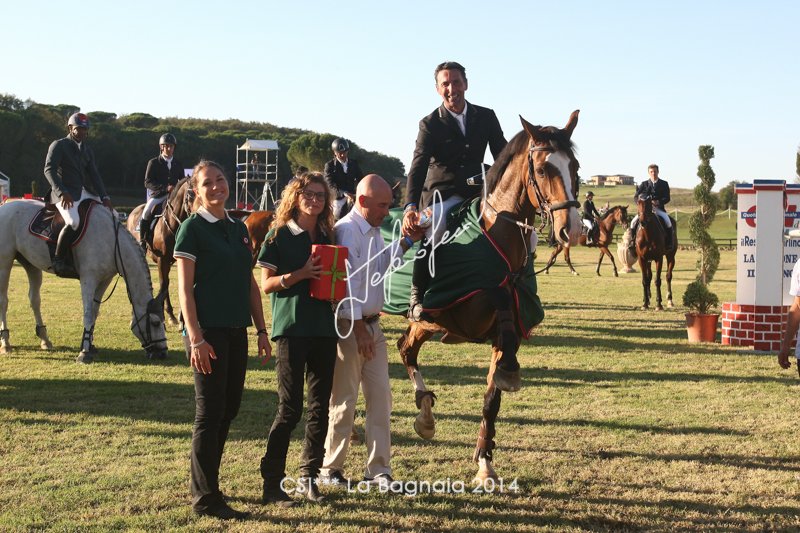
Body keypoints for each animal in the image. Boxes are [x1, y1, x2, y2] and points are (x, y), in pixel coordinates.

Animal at [0, 200, 168, 362]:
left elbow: (94, 312)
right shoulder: (89, 279)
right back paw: (6, 343)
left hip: (31, 264)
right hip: (5, 262)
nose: (162, 353)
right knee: (4, 301)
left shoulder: (105, 280)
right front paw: (84, 353)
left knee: (34, 300)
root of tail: (5, 206)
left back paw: (45, 339)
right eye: (155, 323)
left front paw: (89, 344)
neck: (111, 242)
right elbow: (87, 313)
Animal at [396, 111, 582, 483]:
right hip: (423, 316)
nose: (573, 229)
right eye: (543, 170)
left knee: (406, 349)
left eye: (576, 167)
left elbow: (492, 397)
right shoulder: (469, 310)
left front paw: (484, 462)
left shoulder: (503, 332)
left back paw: (425, 414)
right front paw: (509, 370)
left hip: (427, 326)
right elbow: (498, 297)